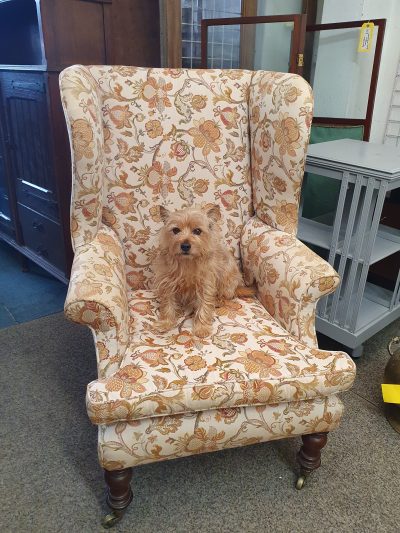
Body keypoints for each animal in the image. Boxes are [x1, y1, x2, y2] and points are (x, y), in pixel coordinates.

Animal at [153, 204, 253, 336]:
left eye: (197, 231)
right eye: (175, 230)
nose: (185, 246)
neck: (187, 262)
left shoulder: (205, 285)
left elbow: (204, 306)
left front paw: (202, 328)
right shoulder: (167, 284)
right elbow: (167, 304)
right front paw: (165, 323)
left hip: (226, 282)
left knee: (224, 296)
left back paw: (217, 301)